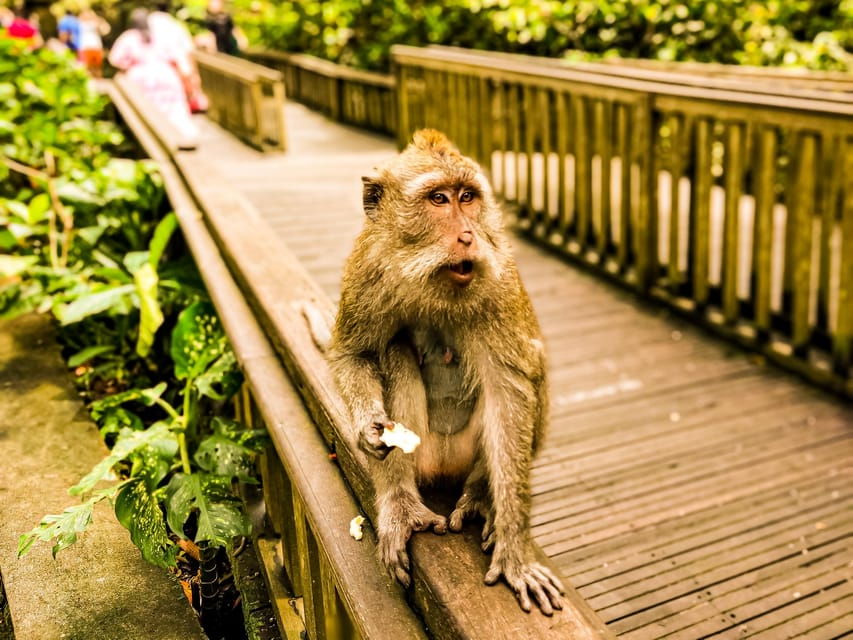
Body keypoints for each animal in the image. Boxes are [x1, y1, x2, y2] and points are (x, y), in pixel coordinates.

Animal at [327, 129, 564, 615]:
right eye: (439, 199)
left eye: (467, 197)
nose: (469, 235)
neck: (432, 280)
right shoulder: (368, 269)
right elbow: (353, 354)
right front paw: (369, 427)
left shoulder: (499, 280)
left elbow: (511, 389)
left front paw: (515, 551)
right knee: (394, 349)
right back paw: (400, 503)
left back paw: (481, 494)